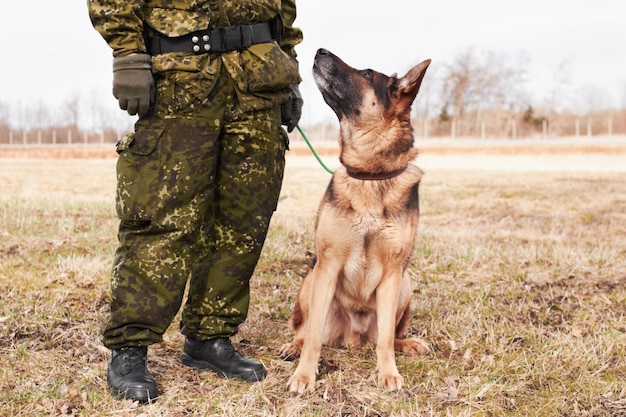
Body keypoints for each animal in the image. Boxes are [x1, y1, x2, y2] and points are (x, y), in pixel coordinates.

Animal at [278, 49, 428, 394]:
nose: (319, 50)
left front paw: (388, 373)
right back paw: (294, 346)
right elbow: (313, 338)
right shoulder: (328, 264)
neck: (370, 176)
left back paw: (408, 344)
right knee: (308, 330)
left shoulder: (393, 273)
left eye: (367, 72)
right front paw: (304, 376)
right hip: (313, 277)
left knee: (387, 336)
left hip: (405, 282)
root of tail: (353, 337)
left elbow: (385, 339)